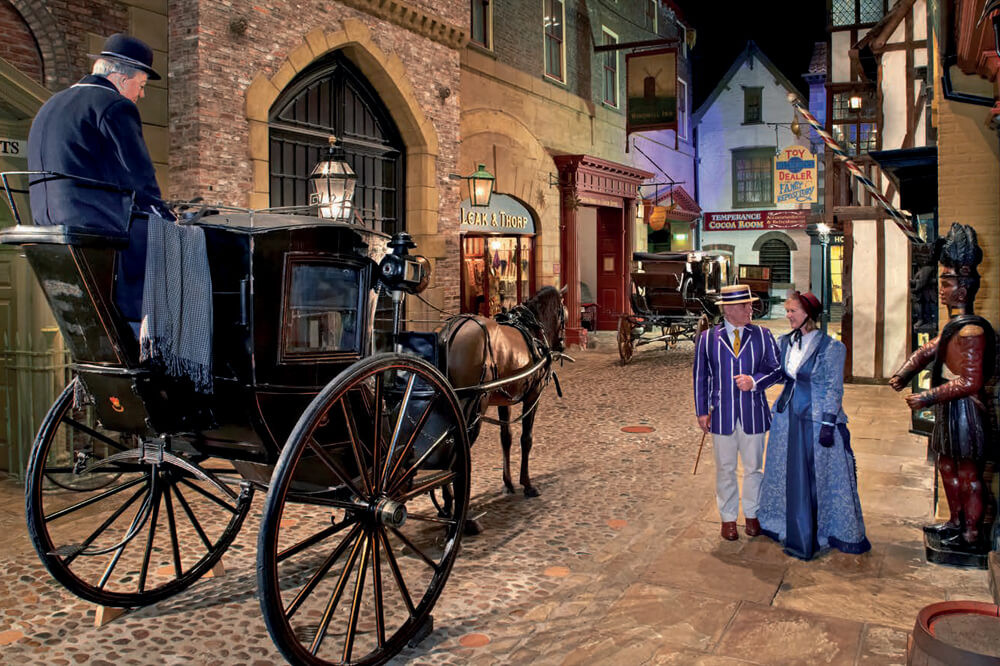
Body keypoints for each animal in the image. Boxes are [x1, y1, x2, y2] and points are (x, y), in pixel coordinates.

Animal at [444, 282, 568, 496]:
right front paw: (527, 483)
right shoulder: (533, 396)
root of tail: (452, 332)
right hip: (472, 406)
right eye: (564, 314)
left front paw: (508, 482)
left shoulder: (505, 400)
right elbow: (526, 439)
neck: (533, 330)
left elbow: (506, 438)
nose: (562, 344)